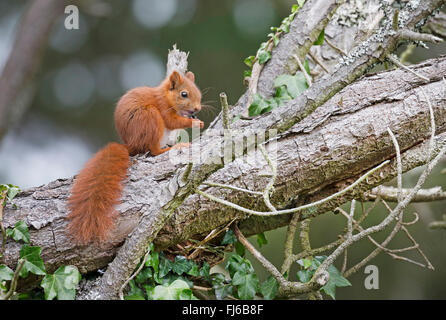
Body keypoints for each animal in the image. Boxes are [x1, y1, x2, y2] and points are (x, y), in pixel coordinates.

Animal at [66, 70, 204, 245]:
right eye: (184, 94)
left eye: (198, 93)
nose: (197, 108)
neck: (166, 96)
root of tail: (130, 144)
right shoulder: (163, 108)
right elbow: (173, 122)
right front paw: (195, 123)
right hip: (150, 117)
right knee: (154, 150)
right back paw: (174, 147)